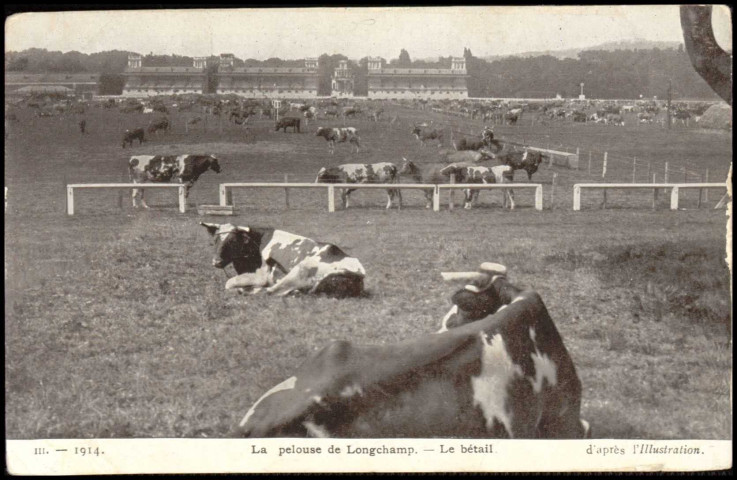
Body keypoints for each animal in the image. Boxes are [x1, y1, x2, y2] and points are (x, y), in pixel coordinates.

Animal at [198, 223, 366, 298]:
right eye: (215, 240)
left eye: (233, 241)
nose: (216, 261)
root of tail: (359, 273)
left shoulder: (261, 276)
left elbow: (229, 283)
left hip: (301, 268)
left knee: (272, 291)